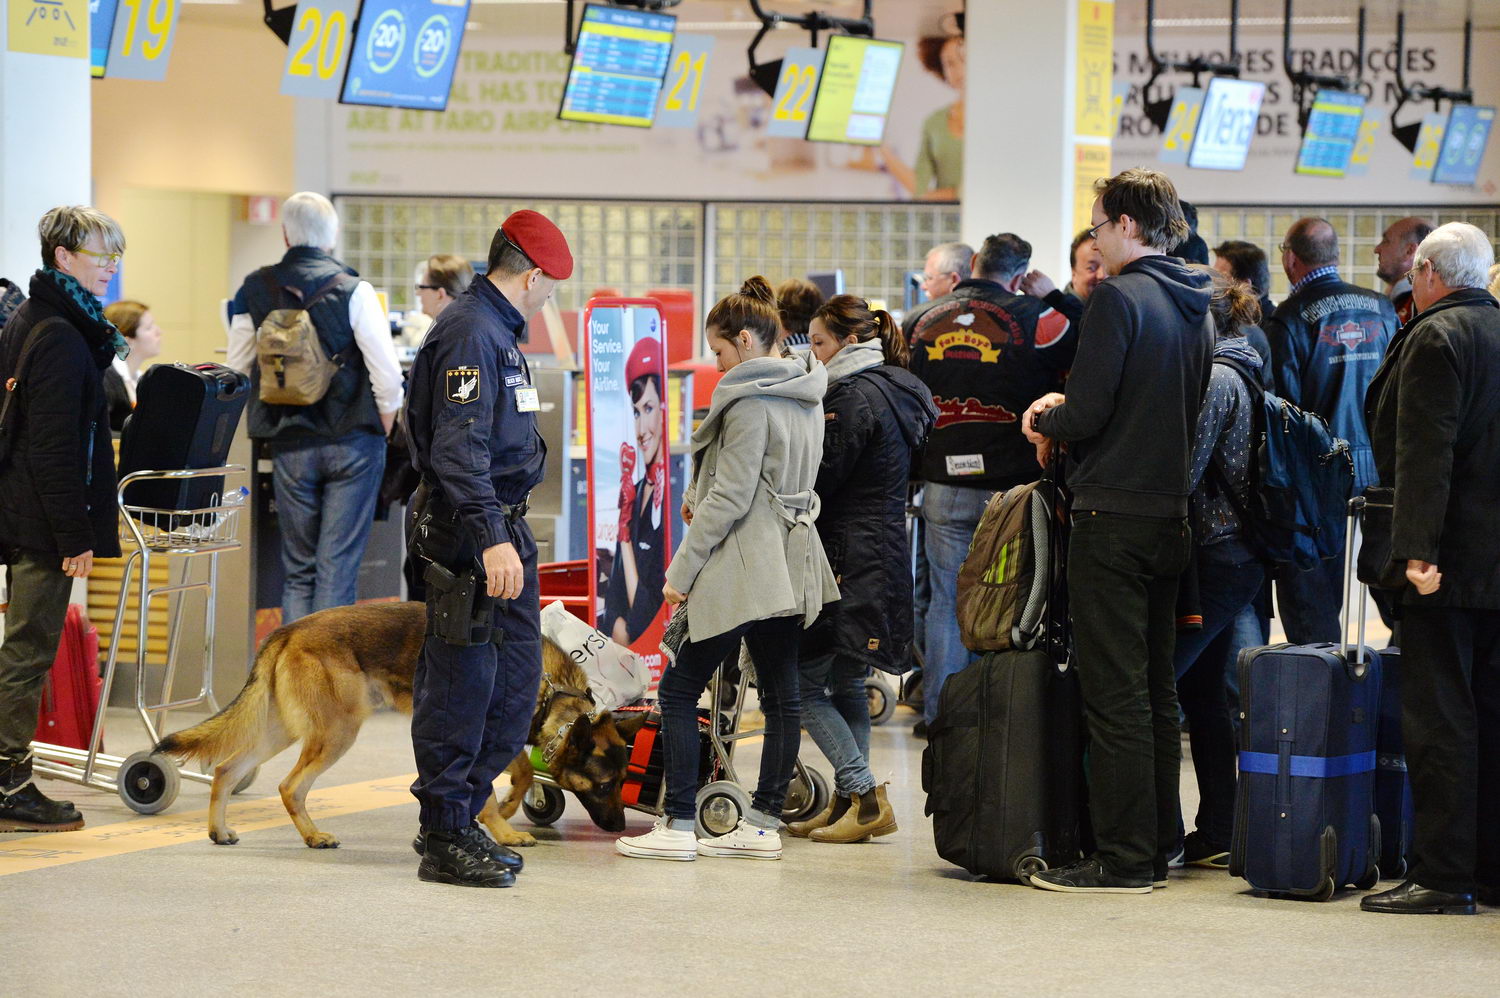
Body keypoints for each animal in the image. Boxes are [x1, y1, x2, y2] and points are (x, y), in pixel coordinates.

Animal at [155, 600, 642, 846]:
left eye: (623, 783)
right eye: (603, 785)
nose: (620, 827)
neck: (551, 688)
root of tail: (288, 628)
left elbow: (519, 773)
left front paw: (502, 813)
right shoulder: (483, 742)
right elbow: (515, 775)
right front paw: (503, 824)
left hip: (285, 731)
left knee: (225, 769)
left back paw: (218, 831)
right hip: (336, 732)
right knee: (289, 786)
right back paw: (313, 837)